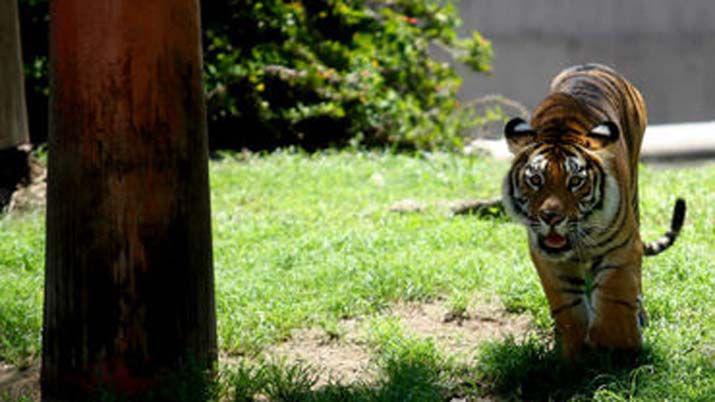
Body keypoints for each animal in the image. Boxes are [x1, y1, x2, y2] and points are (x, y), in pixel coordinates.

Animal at [500, 64, 684, 360]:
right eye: (536, 180)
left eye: (575, 181)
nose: (551, 217)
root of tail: (595, 67)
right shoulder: (548, 258)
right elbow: (568, 309)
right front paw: (575, 353)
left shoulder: (620, 247)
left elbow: (614, 296)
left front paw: (620, 348)